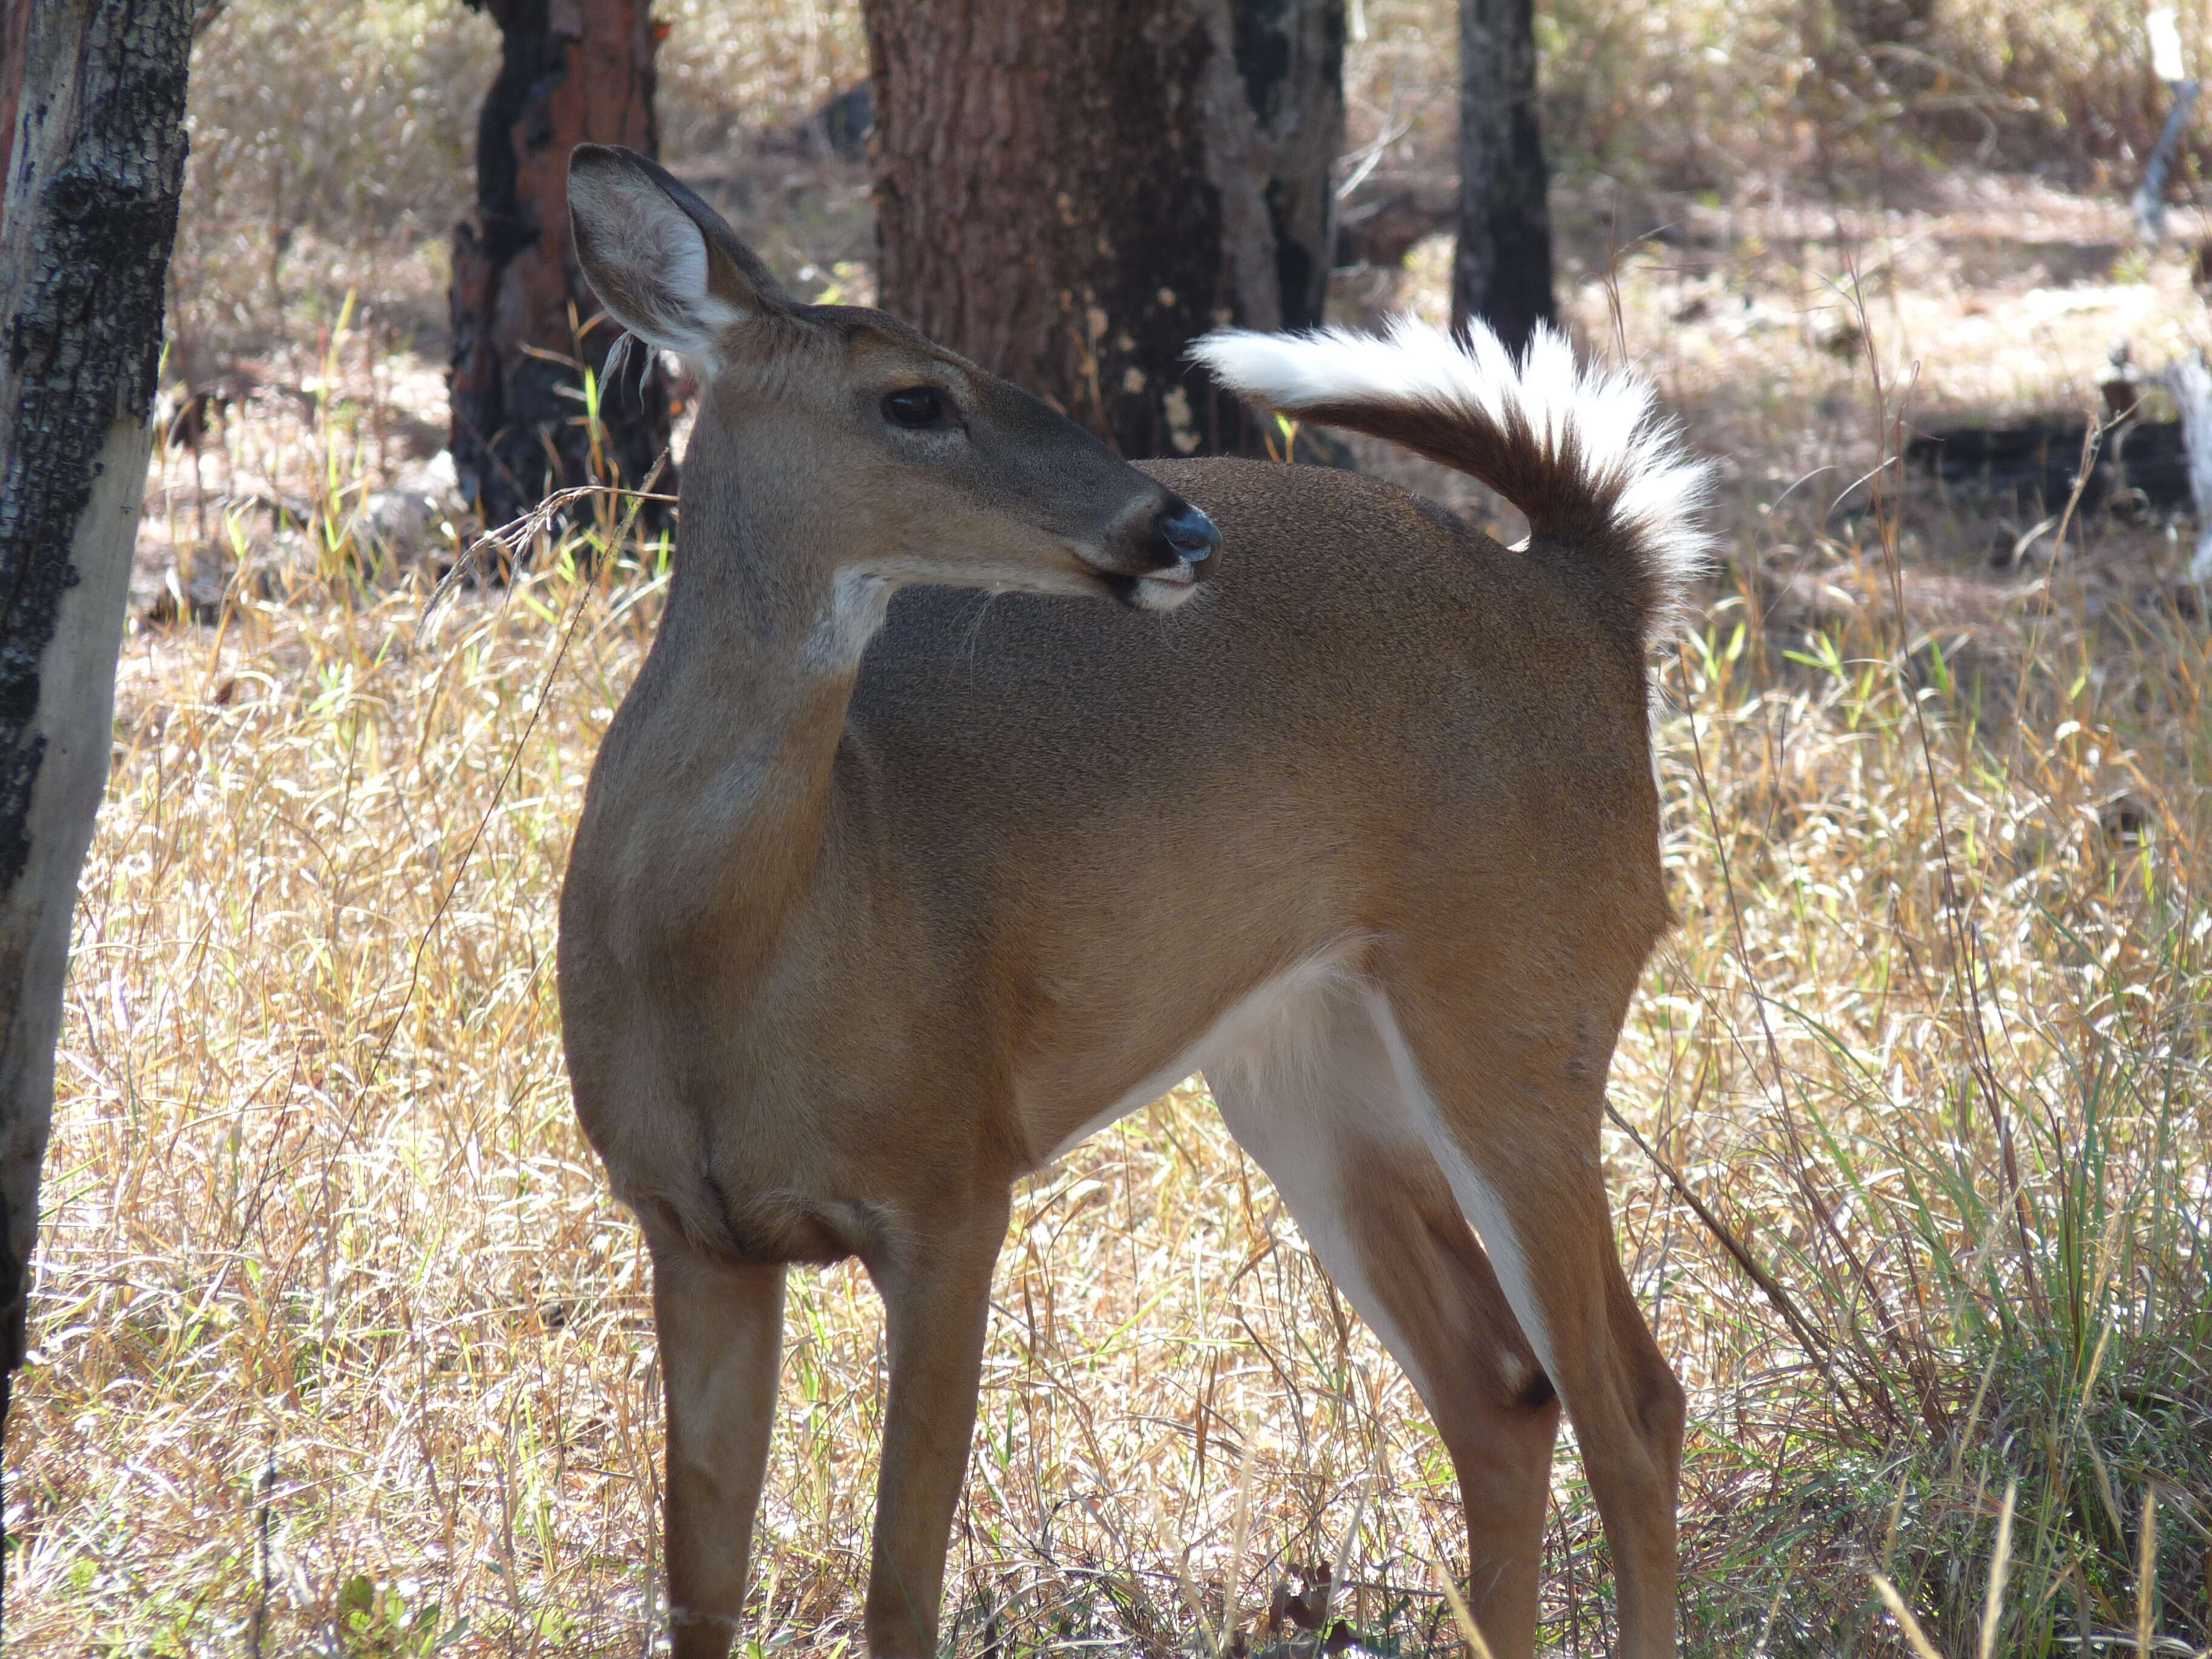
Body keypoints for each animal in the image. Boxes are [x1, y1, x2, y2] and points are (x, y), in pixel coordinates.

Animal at [553, 146, 1708, 1659]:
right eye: (914, 398)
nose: (1179, 526)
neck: (735, 956)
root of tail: (1586, 585)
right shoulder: (688, 1228)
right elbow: (700, 1594)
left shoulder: (954, 1182)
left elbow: (900, 1589)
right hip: (1303, 1072)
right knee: (1503, 1392)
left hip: (1524, 1001)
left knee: (1633, 1401)